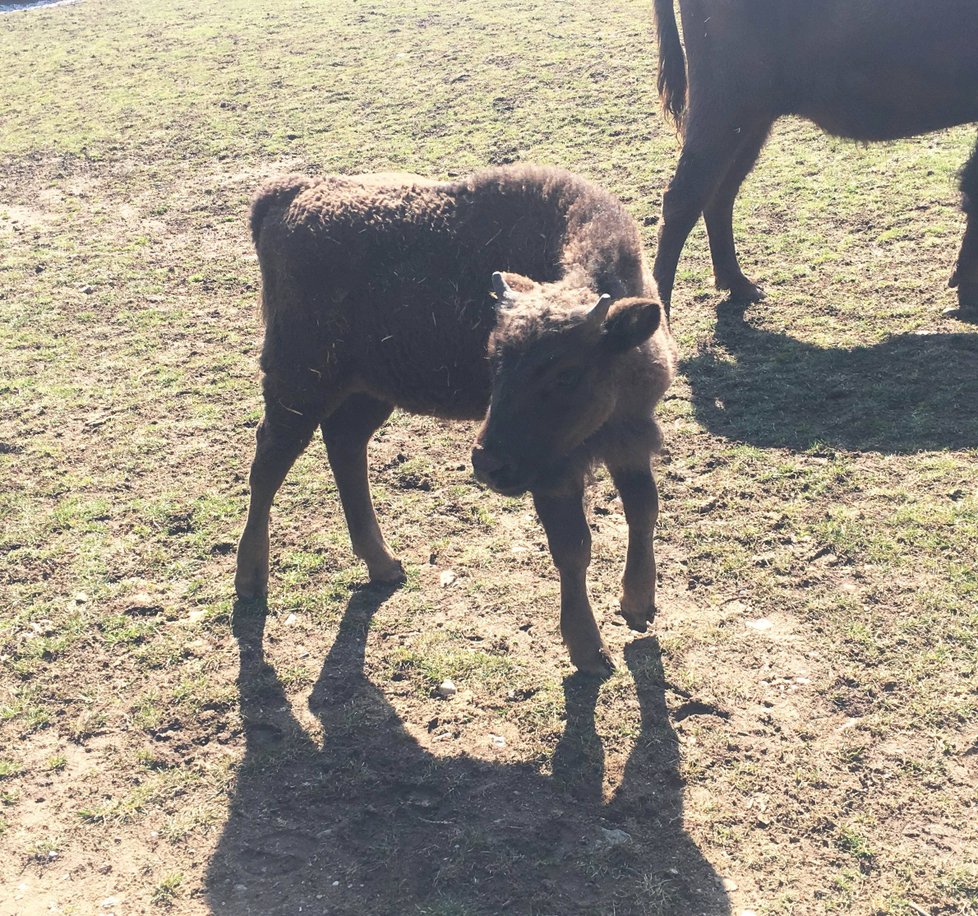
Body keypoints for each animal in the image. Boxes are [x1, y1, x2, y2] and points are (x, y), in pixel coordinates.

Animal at [236, 165, 680, 672]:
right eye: (493, 360)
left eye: (567, 372)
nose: (488, 464)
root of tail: (288, 194)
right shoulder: (552, 473)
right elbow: (573, 548)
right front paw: (589, 652)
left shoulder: (629, 439)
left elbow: (643, 510)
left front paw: (638, 607)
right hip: (300, 384)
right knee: (269, 462)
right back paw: (251, 581)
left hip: (368, 390)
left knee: (344, 447)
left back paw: (384, 566)